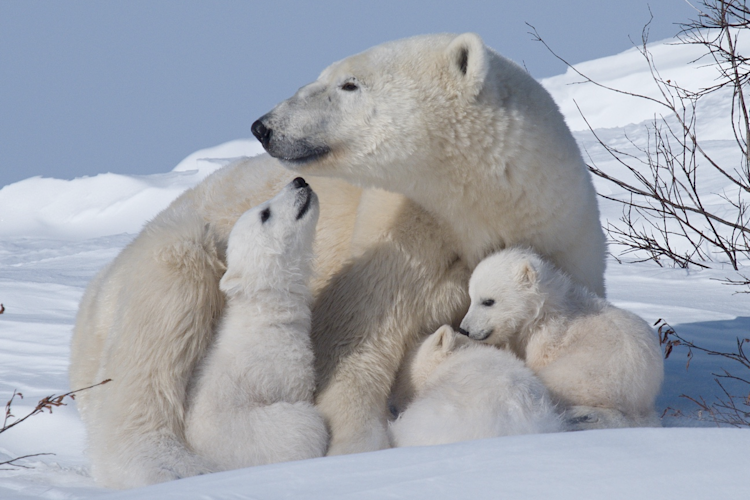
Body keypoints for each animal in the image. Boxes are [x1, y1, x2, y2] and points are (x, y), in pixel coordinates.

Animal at [458, 247, 664, 429]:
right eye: (471, 297)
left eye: (488, 301)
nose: (464, 329)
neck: (545, 310)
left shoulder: (549, 336)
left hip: (587, 373)